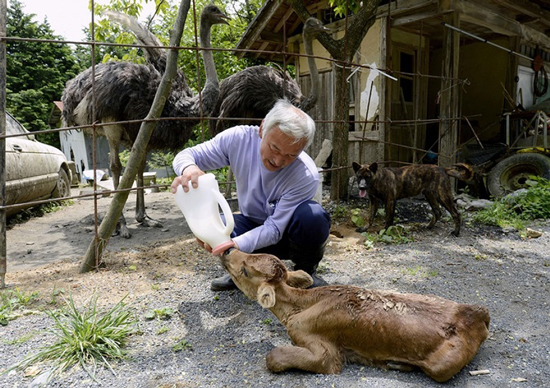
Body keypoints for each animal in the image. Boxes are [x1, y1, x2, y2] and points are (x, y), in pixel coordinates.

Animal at [220, 249, 492, 382]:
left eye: (245, 270)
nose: (227, 250)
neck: (299, 307)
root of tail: (479, 314)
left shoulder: (325, 354)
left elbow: (274, 356)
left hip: (443, 365)